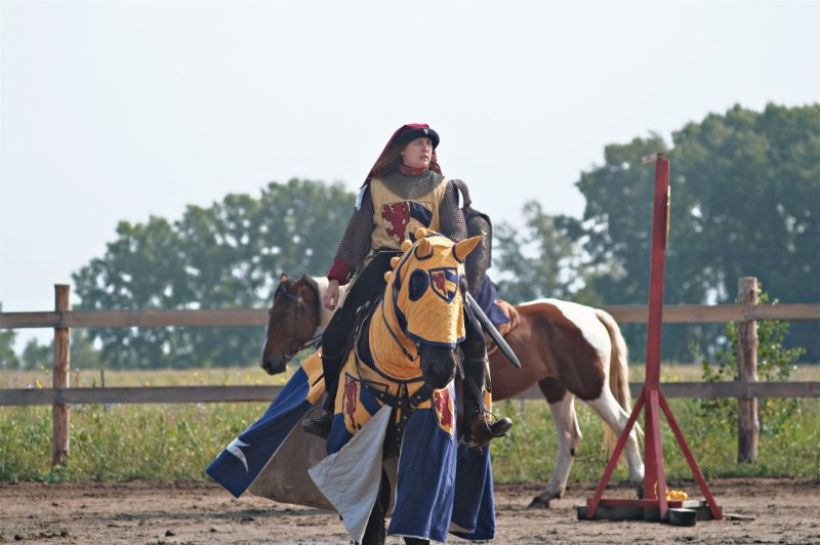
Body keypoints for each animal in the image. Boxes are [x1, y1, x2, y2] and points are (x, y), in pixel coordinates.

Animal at [266, 268, 644, 510]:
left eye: (282, 313)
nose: (268, 362)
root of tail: (591, 315)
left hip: (590, 386)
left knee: (622, 422)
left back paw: (640, 481)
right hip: (557, 388)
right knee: (570, 436)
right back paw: (548, 494)